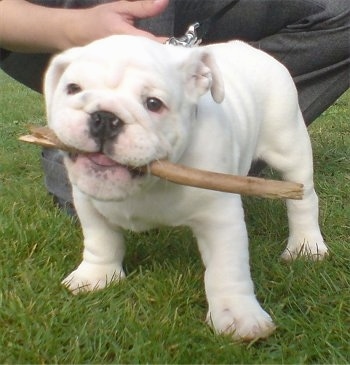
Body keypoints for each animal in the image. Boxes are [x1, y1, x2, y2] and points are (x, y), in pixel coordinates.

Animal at [43, 35, 328, 340]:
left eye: (154, 103)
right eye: (72, 89)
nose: (105, 117)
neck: (151, 183)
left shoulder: (219, 218)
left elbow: (227, 269)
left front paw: (239, 316)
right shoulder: (88, 202)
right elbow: (101, 240)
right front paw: (95, 277)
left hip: (289, 144)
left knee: (303, 198)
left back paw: (306, 246)